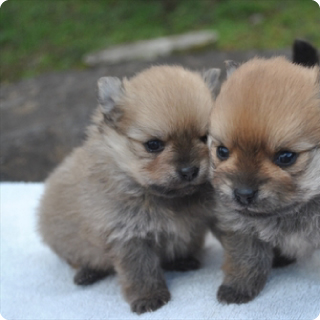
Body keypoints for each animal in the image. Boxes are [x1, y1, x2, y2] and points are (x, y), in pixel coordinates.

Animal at [38, 65, 220, 316]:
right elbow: (140, 271)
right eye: (153, 145)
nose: (189, 170)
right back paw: (87, 272)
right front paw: (149, 297)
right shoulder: (129, 234)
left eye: (204, 138)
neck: (164, 198)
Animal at [209, 57, 320, 304]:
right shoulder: (241, 227)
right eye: (222, 151)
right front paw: (238, 287)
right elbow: (246, 259)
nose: (243, 194)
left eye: (286, 157)